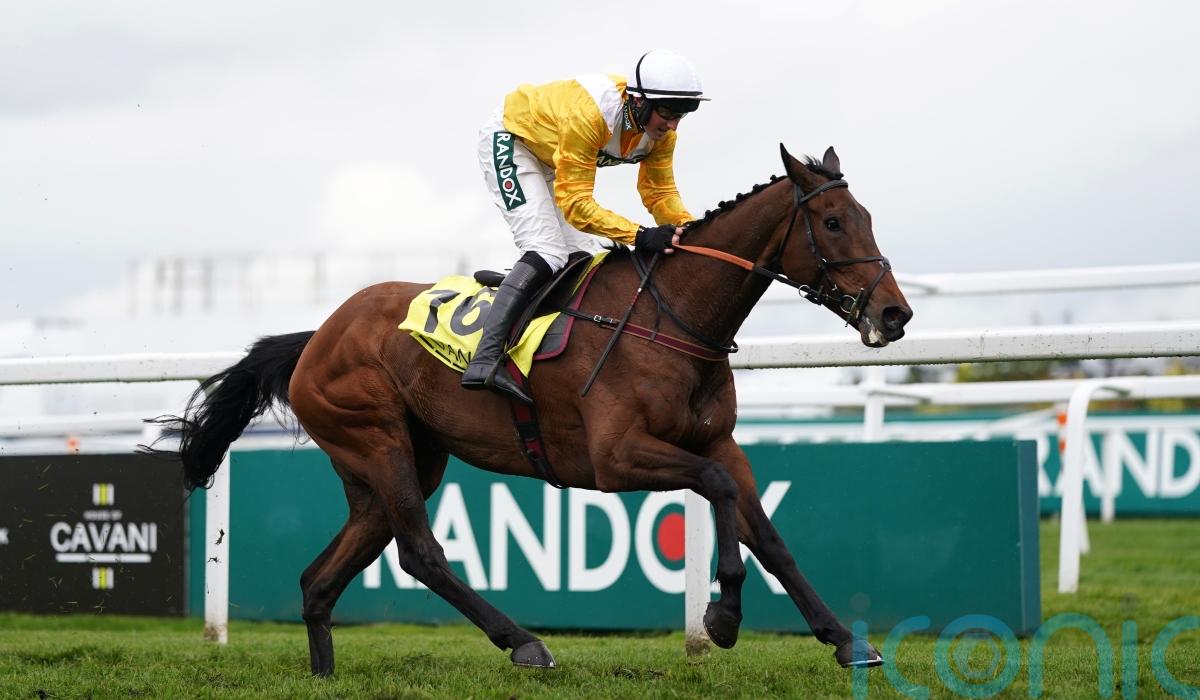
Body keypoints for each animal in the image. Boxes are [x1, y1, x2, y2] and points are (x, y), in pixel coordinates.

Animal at [156, 145, 912, 676]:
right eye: (833, 221)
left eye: (870, 219)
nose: (894, 314)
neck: (670, 318)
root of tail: (317, 336)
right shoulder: (615, 459)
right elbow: (718, 491)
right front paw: (723, 614)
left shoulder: (717, 441)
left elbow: (768, 533)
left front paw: (845, 641)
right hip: (378, 440)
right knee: (421, 551)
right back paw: (523, 642)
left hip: (398, 463)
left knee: (322, 578)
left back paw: (324, 673)